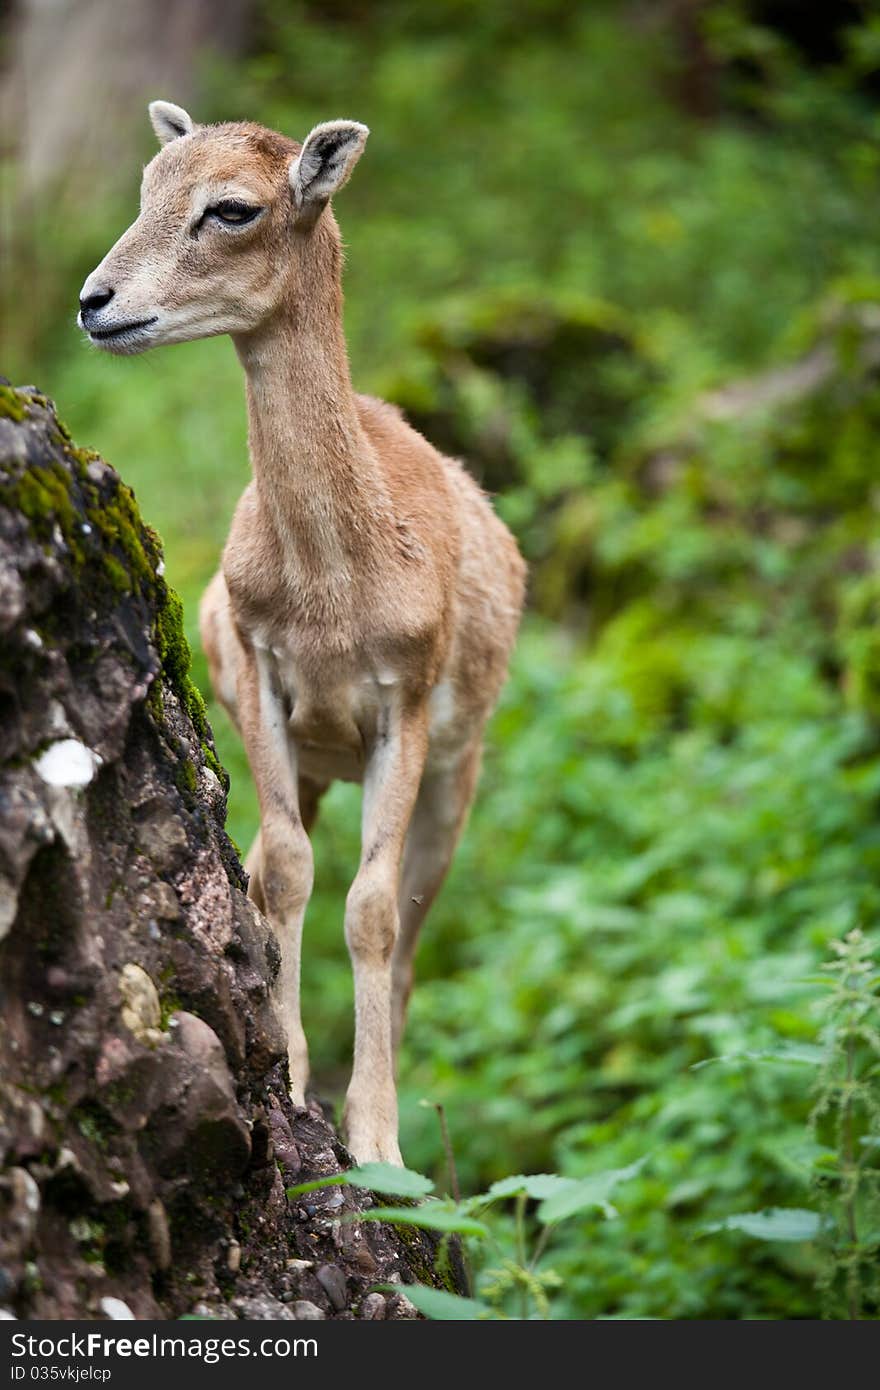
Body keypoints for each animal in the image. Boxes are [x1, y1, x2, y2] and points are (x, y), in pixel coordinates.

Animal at [77, 100, 522, 1162]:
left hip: (461, 773)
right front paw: (293, 1080)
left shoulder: (408, 695)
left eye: (232, 208)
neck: (332, 603)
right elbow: (280, 875)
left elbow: (372, 911)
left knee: (414, 924)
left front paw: (378, 1144)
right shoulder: (262, 676)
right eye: (146, 186)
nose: (95, 301)